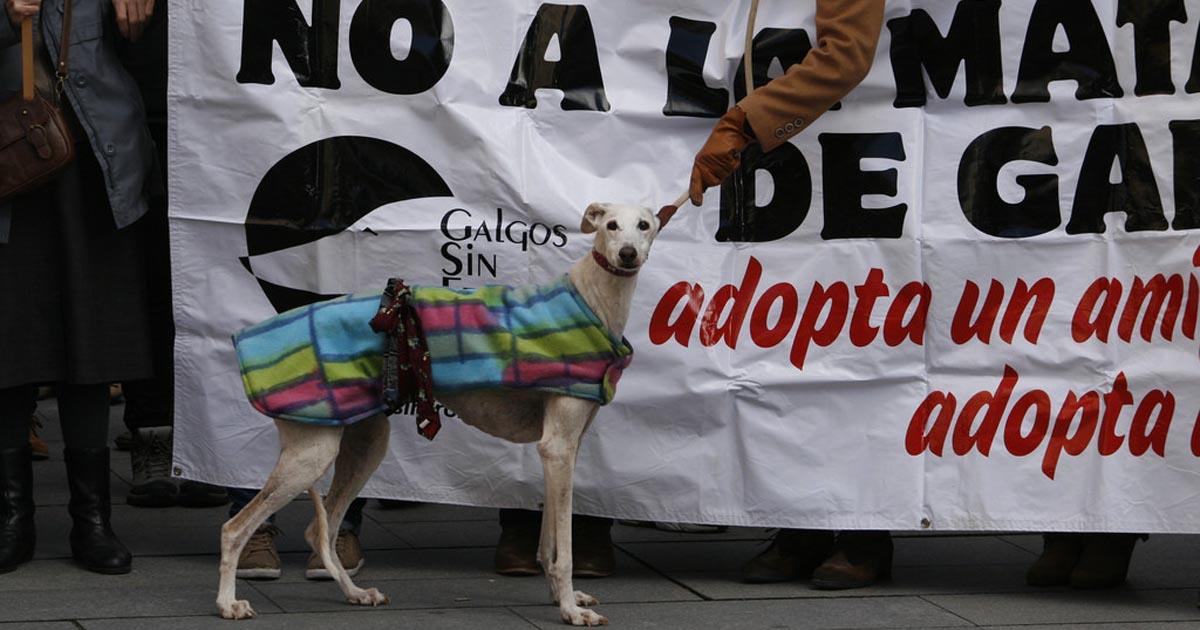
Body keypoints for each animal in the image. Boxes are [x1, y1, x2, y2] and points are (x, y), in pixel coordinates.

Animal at [216, 202, 667, 624]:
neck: (592, 298)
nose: (627, 254)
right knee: (235, 529)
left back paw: (356, 593)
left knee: (318, 530)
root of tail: (247, 343)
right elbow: (564, 549)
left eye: (644, 225)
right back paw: (228, 603)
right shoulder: (557, 448)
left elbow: (549, 542)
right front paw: (571, 611)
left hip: (363, 444)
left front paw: (562, 599)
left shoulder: (561, 449)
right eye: (611, 225)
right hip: (311, 454)